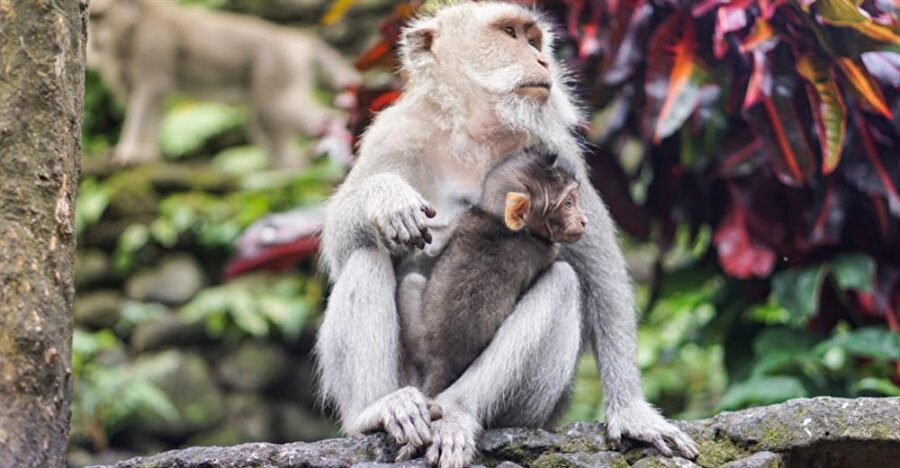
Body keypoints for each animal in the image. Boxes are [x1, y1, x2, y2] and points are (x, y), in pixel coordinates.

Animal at [88, 0, 360, 168]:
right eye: (91, 18)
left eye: (98, 16)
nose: (92, 41)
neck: (132, 24)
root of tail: (294, 38)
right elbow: (148, 103)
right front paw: (147, 154)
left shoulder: (154, 44)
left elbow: (148, 93)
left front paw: (129, 153)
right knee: (264, 119)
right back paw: (289, 168)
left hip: (277, 65)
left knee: (286, 110)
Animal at [402, 150, 592, 398]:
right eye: (568, 203)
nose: (584, 220)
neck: (498, 221)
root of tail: (440, 364)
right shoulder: (546, 249)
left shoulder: (464, 218)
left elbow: (434, 244)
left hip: (418, 339)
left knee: (411, 280)